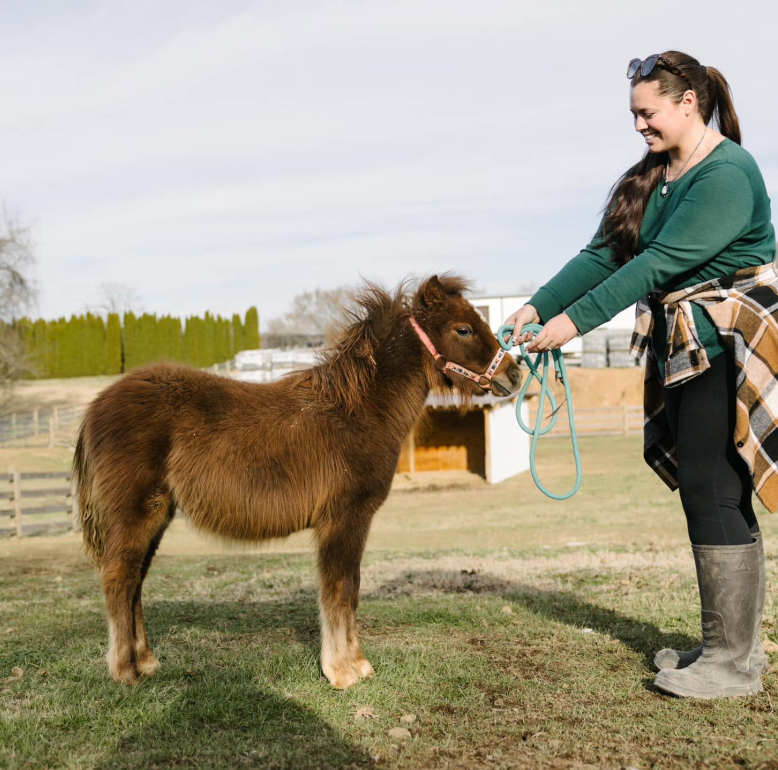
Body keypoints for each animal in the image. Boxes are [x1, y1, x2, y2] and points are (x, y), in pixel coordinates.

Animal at [73, 274, 522, 689]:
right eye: (463, 329)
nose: (515, 375)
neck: (357, 412)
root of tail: (96, 405)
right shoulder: (344, 518)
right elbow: (340, 589)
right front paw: (343, 671)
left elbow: (350, 590)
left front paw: (355, 664)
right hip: (136, 513)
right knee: (119, 579)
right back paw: (125, 671)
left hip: (158, 515)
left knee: (135, 582)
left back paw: (147, 662)